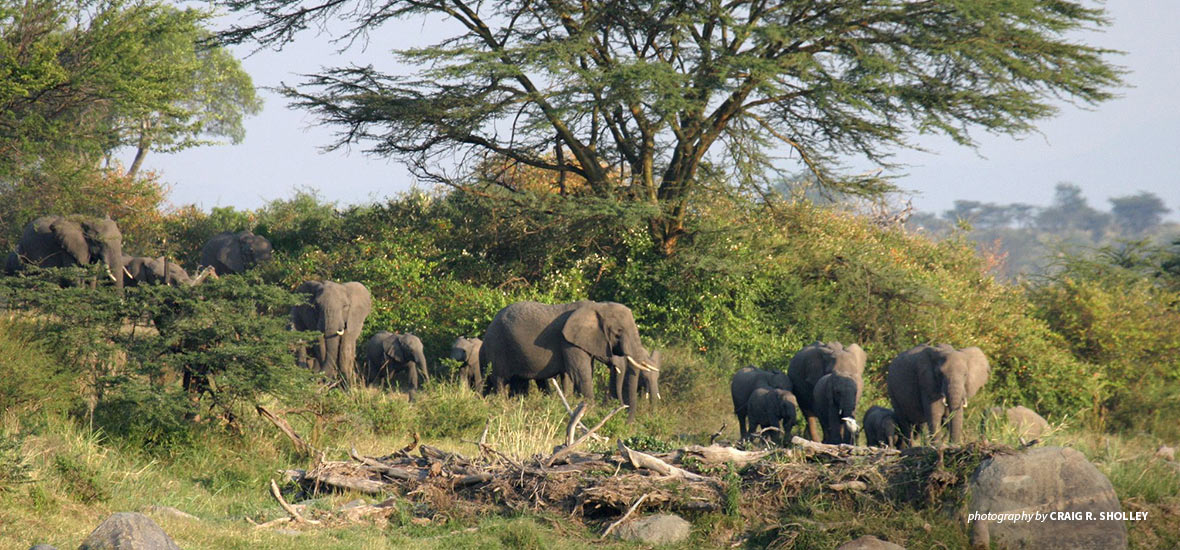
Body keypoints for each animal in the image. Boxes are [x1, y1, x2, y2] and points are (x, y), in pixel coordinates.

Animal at [481, 300, 665, 403]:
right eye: (618, 332)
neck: (596, 307)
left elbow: (576, 374)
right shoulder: (568, 341)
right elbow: (581, 374)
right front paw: (588, 410)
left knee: (517, 383)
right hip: (497, 346)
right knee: (499, 380)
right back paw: (502, 405)